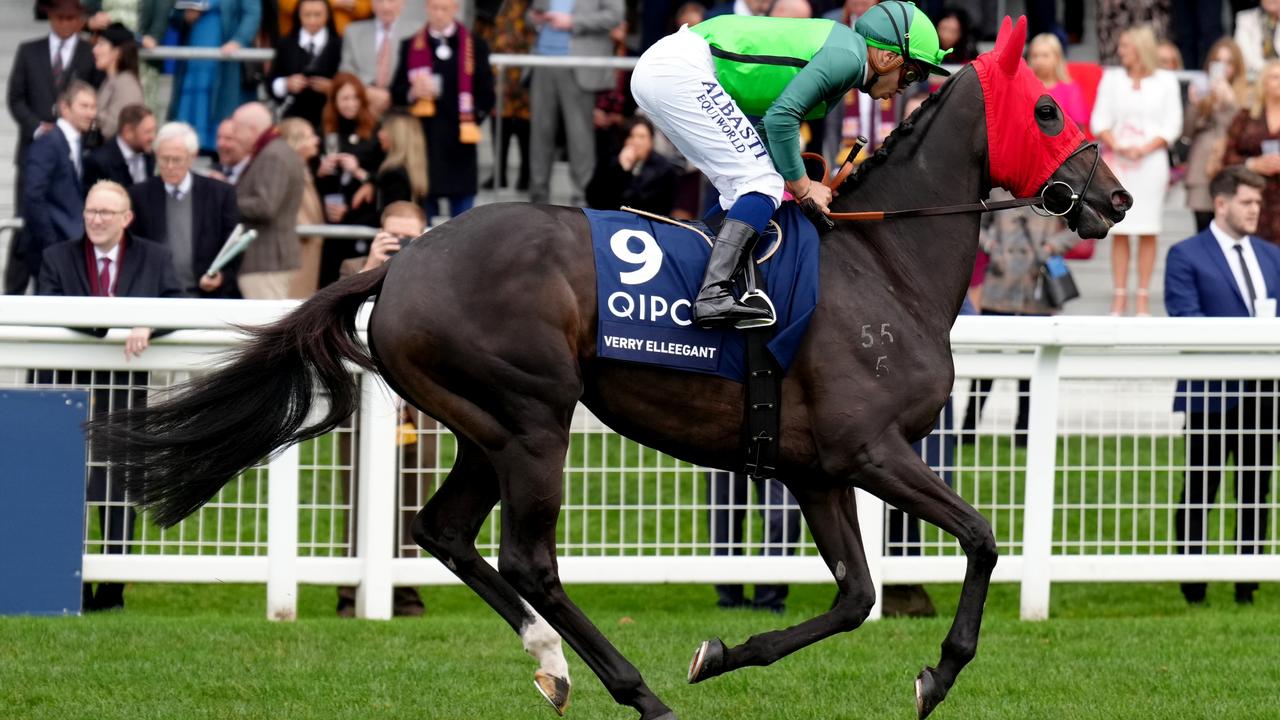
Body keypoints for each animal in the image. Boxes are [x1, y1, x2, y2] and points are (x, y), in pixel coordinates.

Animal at [90, 15, 1131, 717]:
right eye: (1047, 106)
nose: (1116, 200)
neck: (883, 264)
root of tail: (399, 259)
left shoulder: (817, 468)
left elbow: (855, 596)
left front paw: (721, 653)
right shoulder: (871, 449)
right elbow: (983, 540)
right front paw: (935, 674)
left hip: (484, 425)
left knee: (445, 532)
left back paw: (554, 667)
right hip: (531, 417)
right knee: (527, 556)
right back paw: (635, 692)